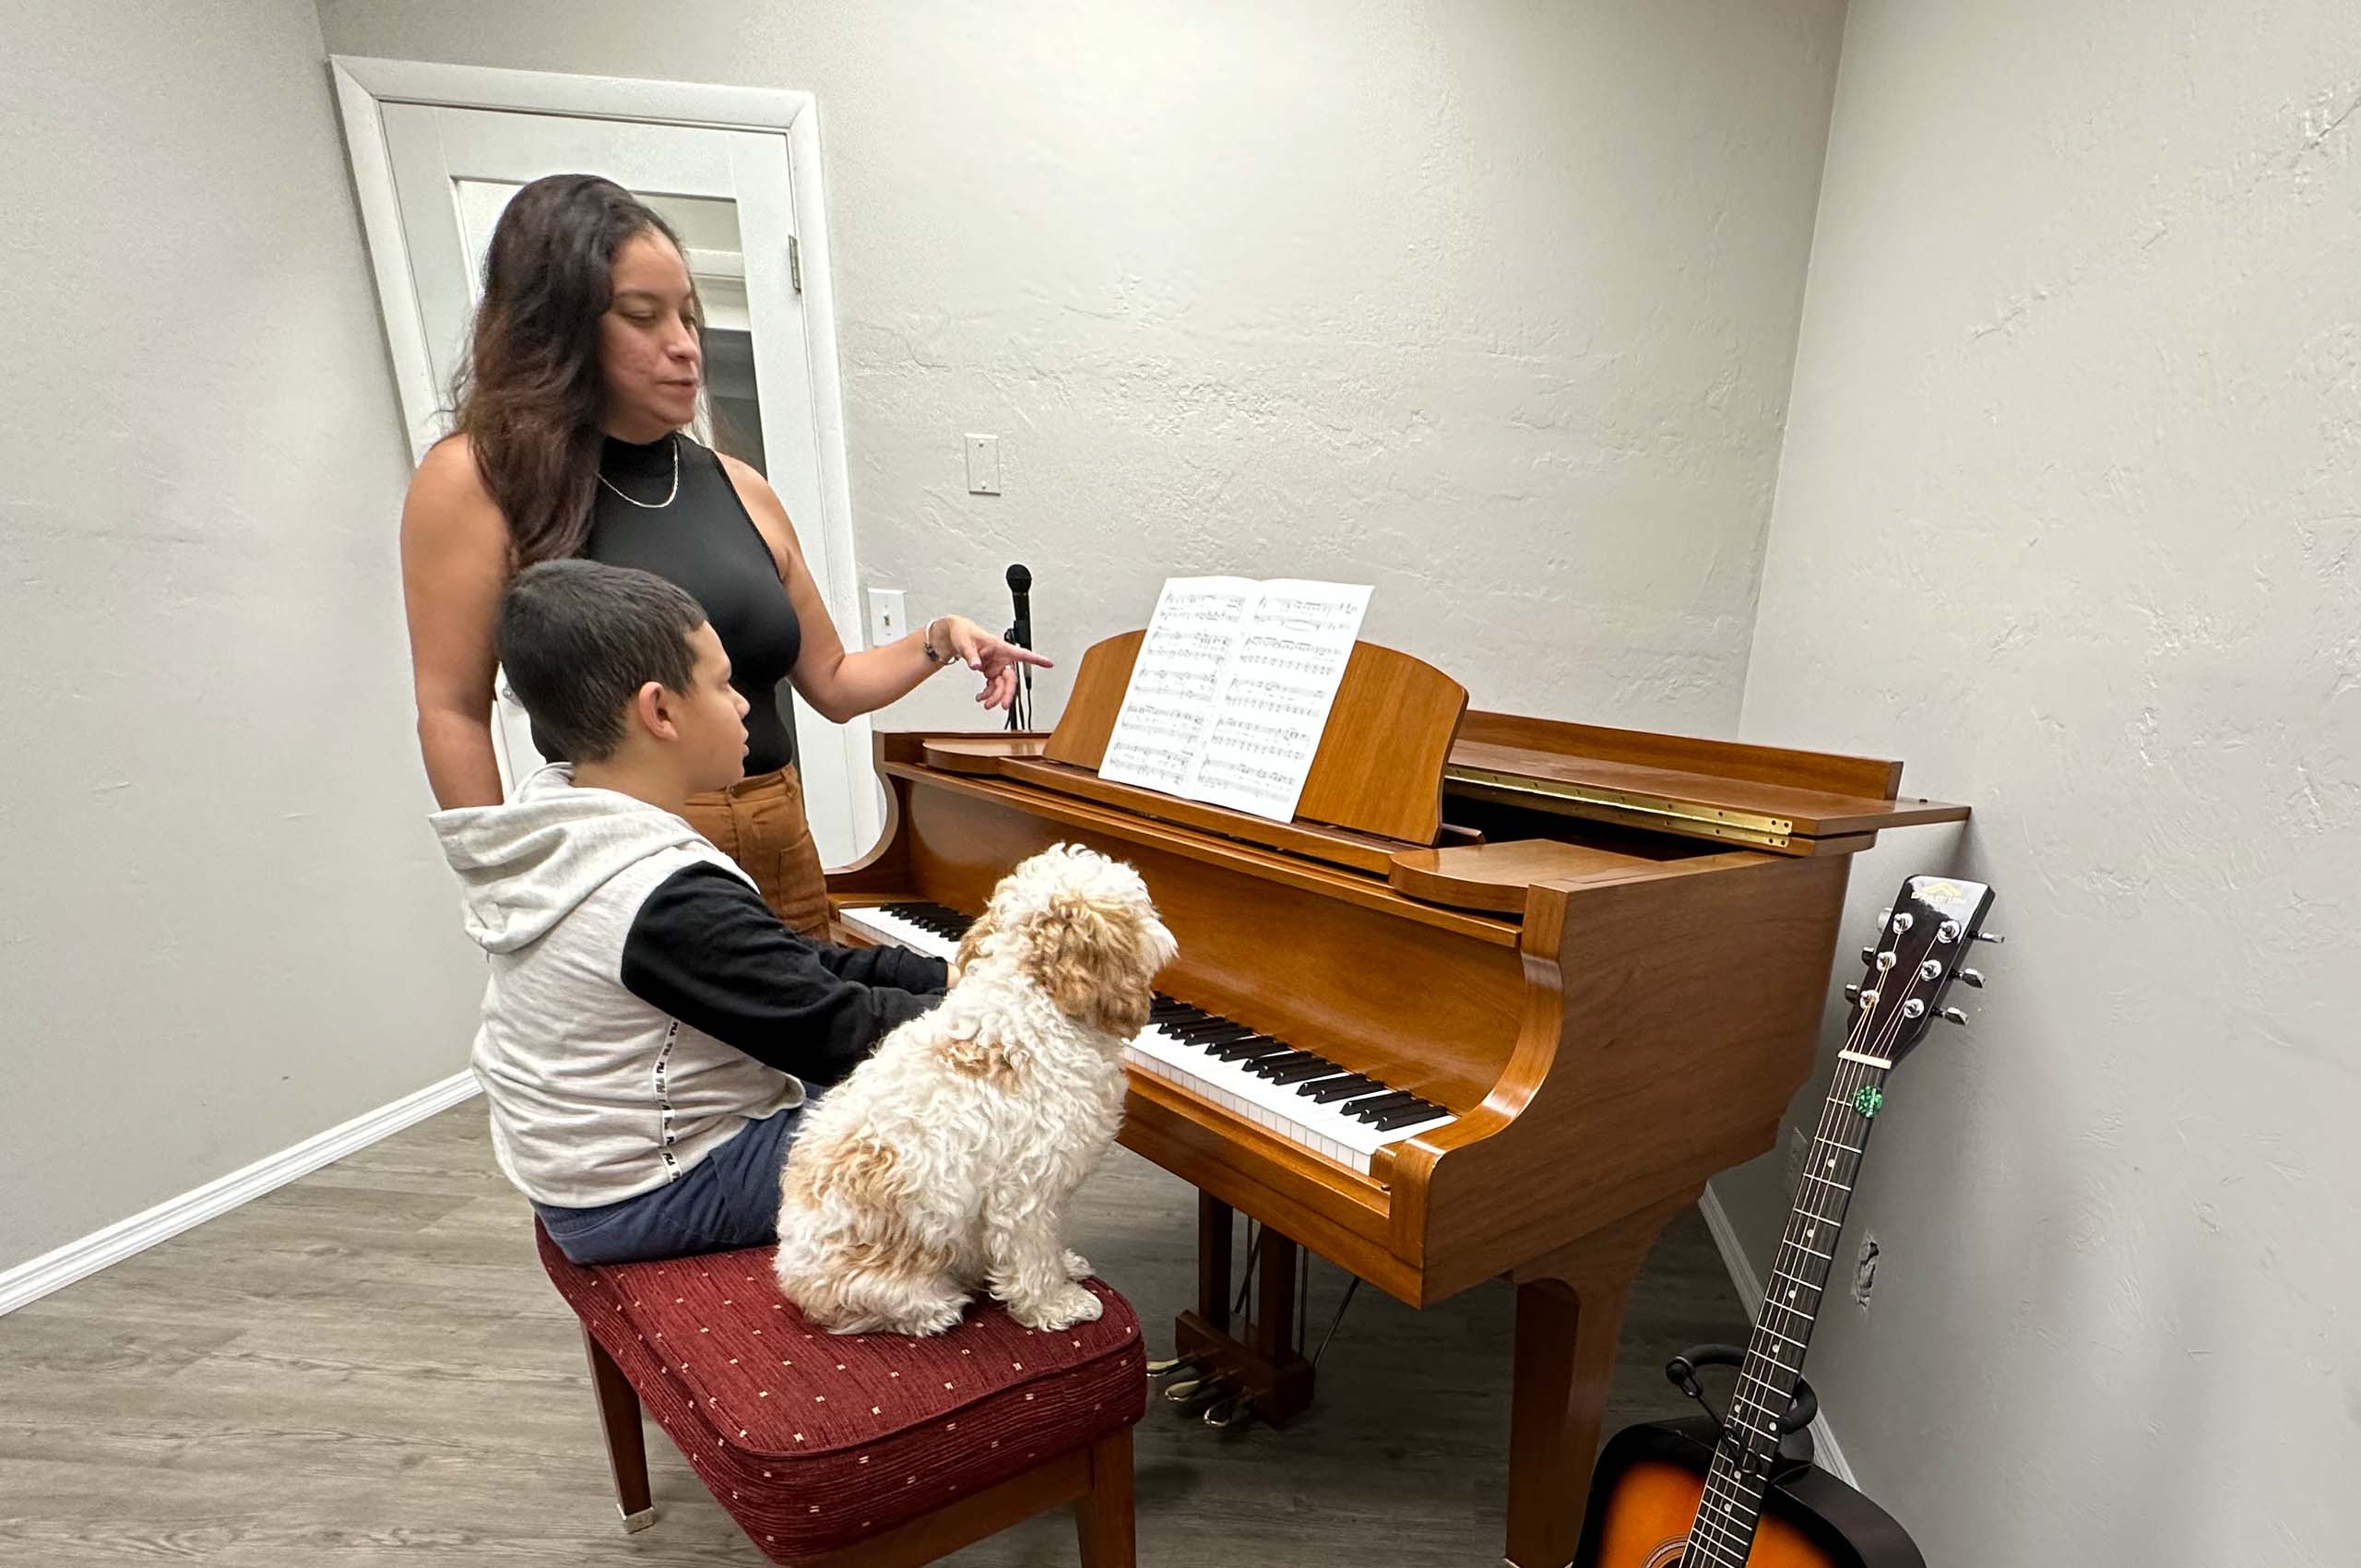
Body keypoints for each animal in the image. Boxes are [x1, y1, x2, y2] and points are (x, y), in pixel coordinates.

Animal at [772, 844, 1176, 1336]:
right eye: (1142, 906)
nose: (1167, 932)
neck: (1036, 999)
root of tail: (794, 1280)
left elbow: (1052, 1240)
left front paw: (1066, 1267)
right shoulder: (1027, 1188)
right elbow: (1033, 1256)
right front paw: (1056, 1304)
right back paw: (935, 1308)